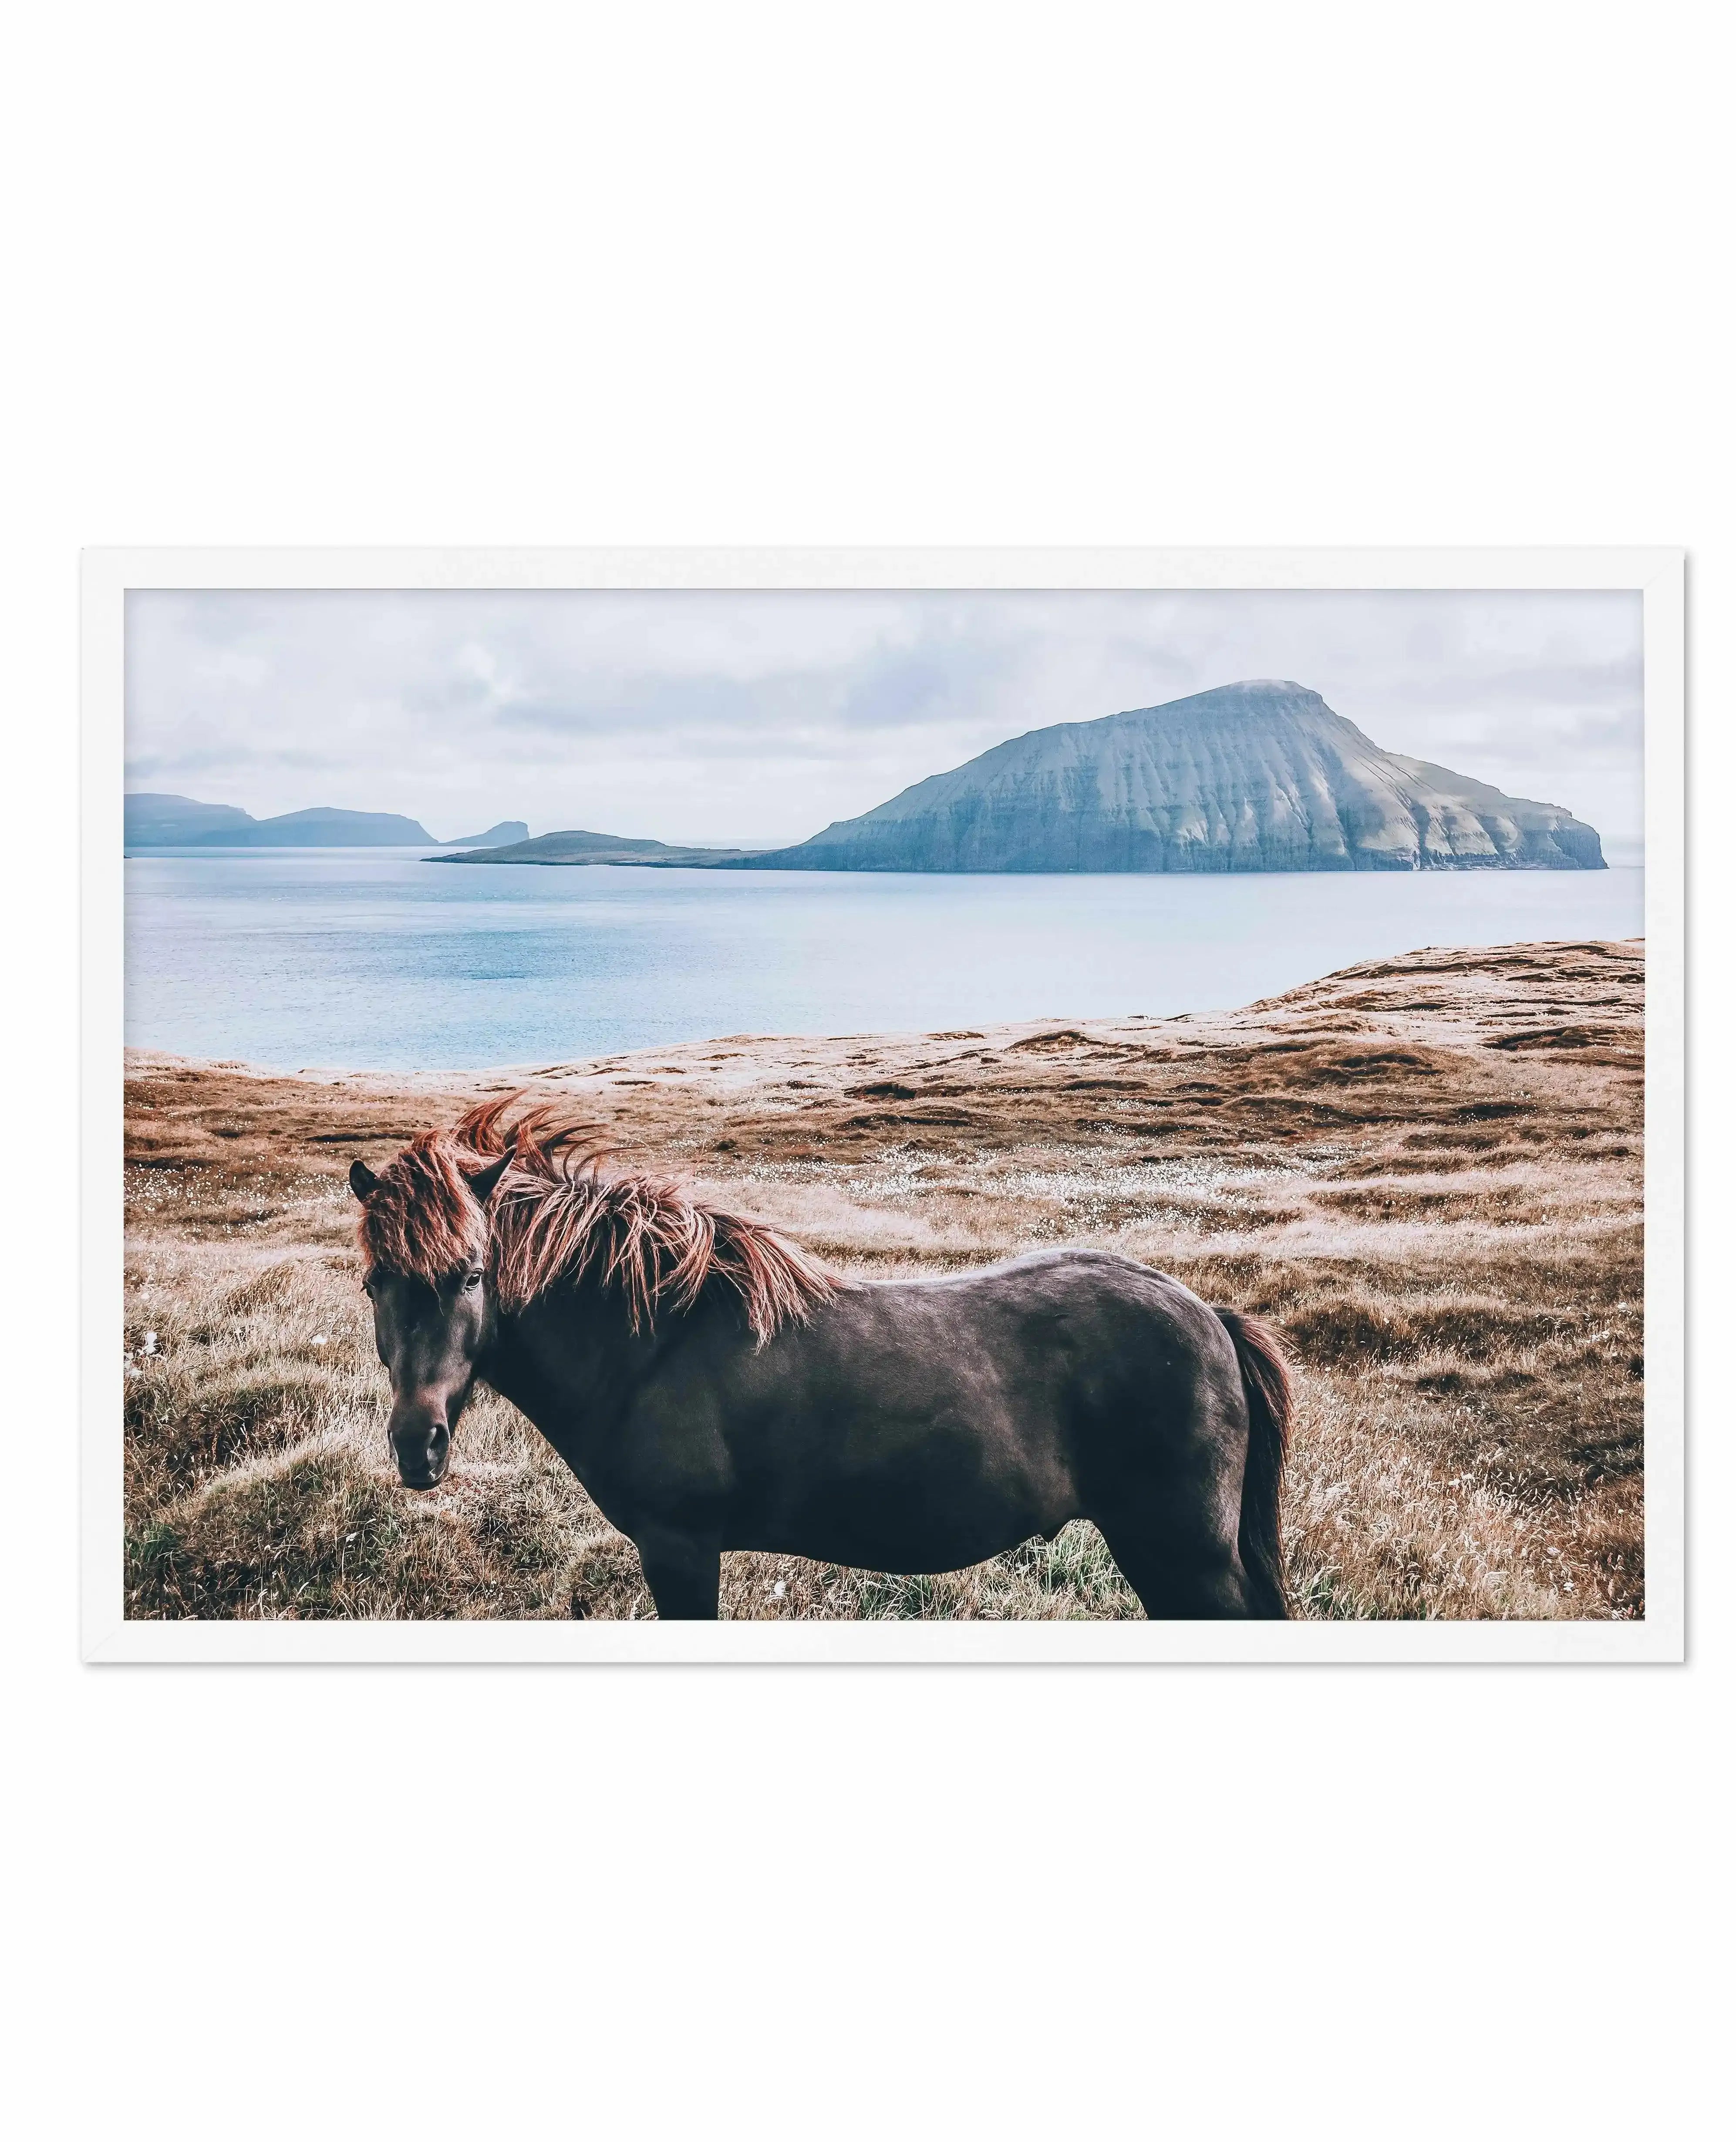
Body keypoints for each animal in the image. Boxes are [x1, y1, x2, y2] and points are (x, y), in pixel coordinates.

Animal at [349, 1097, 1293, 1620]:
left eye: (472, 1274)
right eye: (372, 1282)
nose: (417, 1447)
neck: (649, 1345)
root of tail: (1209, 1316)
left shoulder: (679, 1548)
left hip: (1182, 1555)